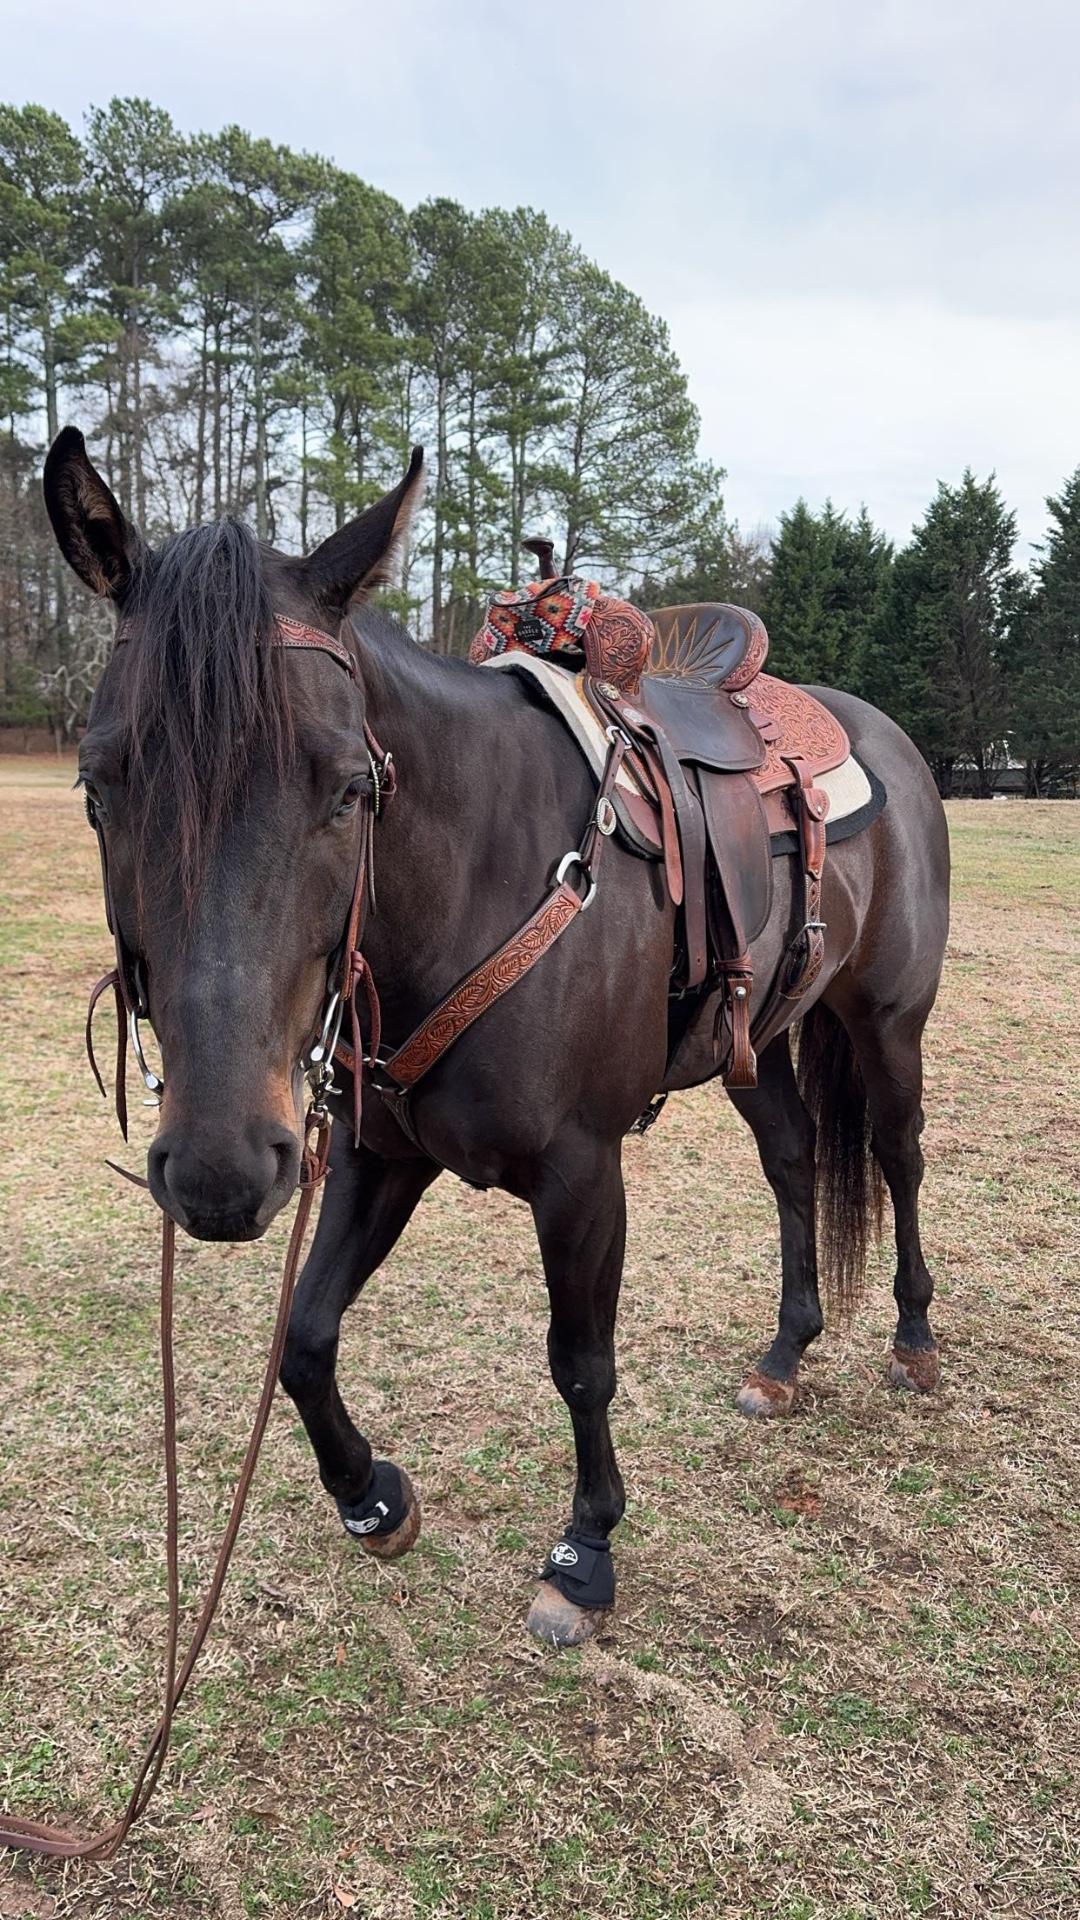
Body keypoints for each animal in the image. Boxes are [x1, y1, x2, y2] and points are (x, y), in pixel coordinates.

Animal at [45, 428, 950, 1649]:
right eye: (100, 786)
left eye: (351, 786)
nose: (220, 1171)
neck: (471, 878)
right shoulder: (377, 1156)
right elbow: (303, 1337)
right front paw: (373, 1498)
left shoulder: (581, 1173)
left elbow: (581, 1365)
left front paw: (586, 1555)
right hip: (753, 1046)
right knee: (796, 1160)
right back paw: (783, 1355)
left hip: (888, 1022)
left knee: (898, 1158)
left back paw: (913, 1340)